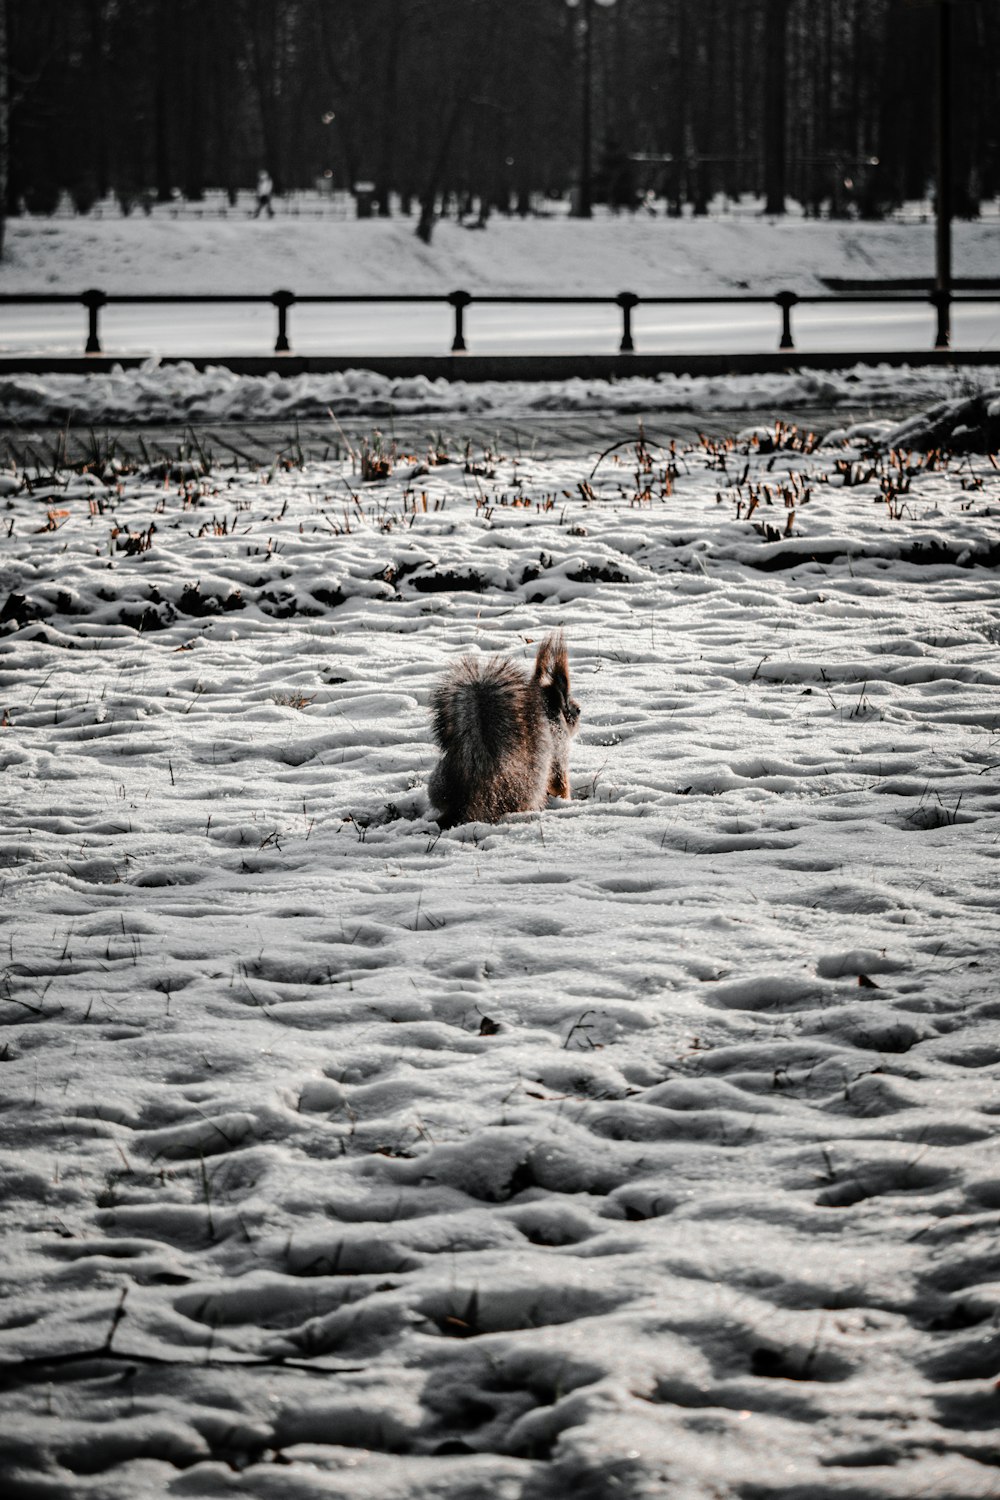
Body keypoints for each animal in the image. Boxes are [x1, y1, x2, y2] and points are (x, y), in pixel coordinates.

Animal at [428, 627, 581, 828]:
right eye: (577, 710)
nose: (578, 718)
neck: (551, 711)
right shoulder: (559, 747)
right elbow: (560, 782)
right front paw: (567, 800)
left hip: (439, 779)